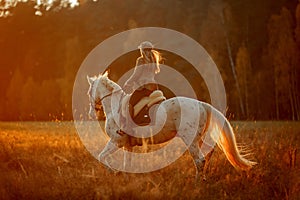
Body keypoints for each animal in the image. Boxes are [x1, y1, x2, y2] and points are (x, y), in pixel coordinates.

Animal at [86, 72, 255, 179]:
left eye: (89, 92)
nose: (91, 114)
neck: (115, 106)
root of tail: (201, 104)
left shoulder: (116, 141)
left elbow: (101, 156)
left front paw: (114, 173)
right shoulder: (128, 146)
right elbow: (127, 163)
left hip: (190, 140)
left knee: (199, 160)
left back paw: (197, 182)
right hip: (198, 139)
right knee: (207, 154)